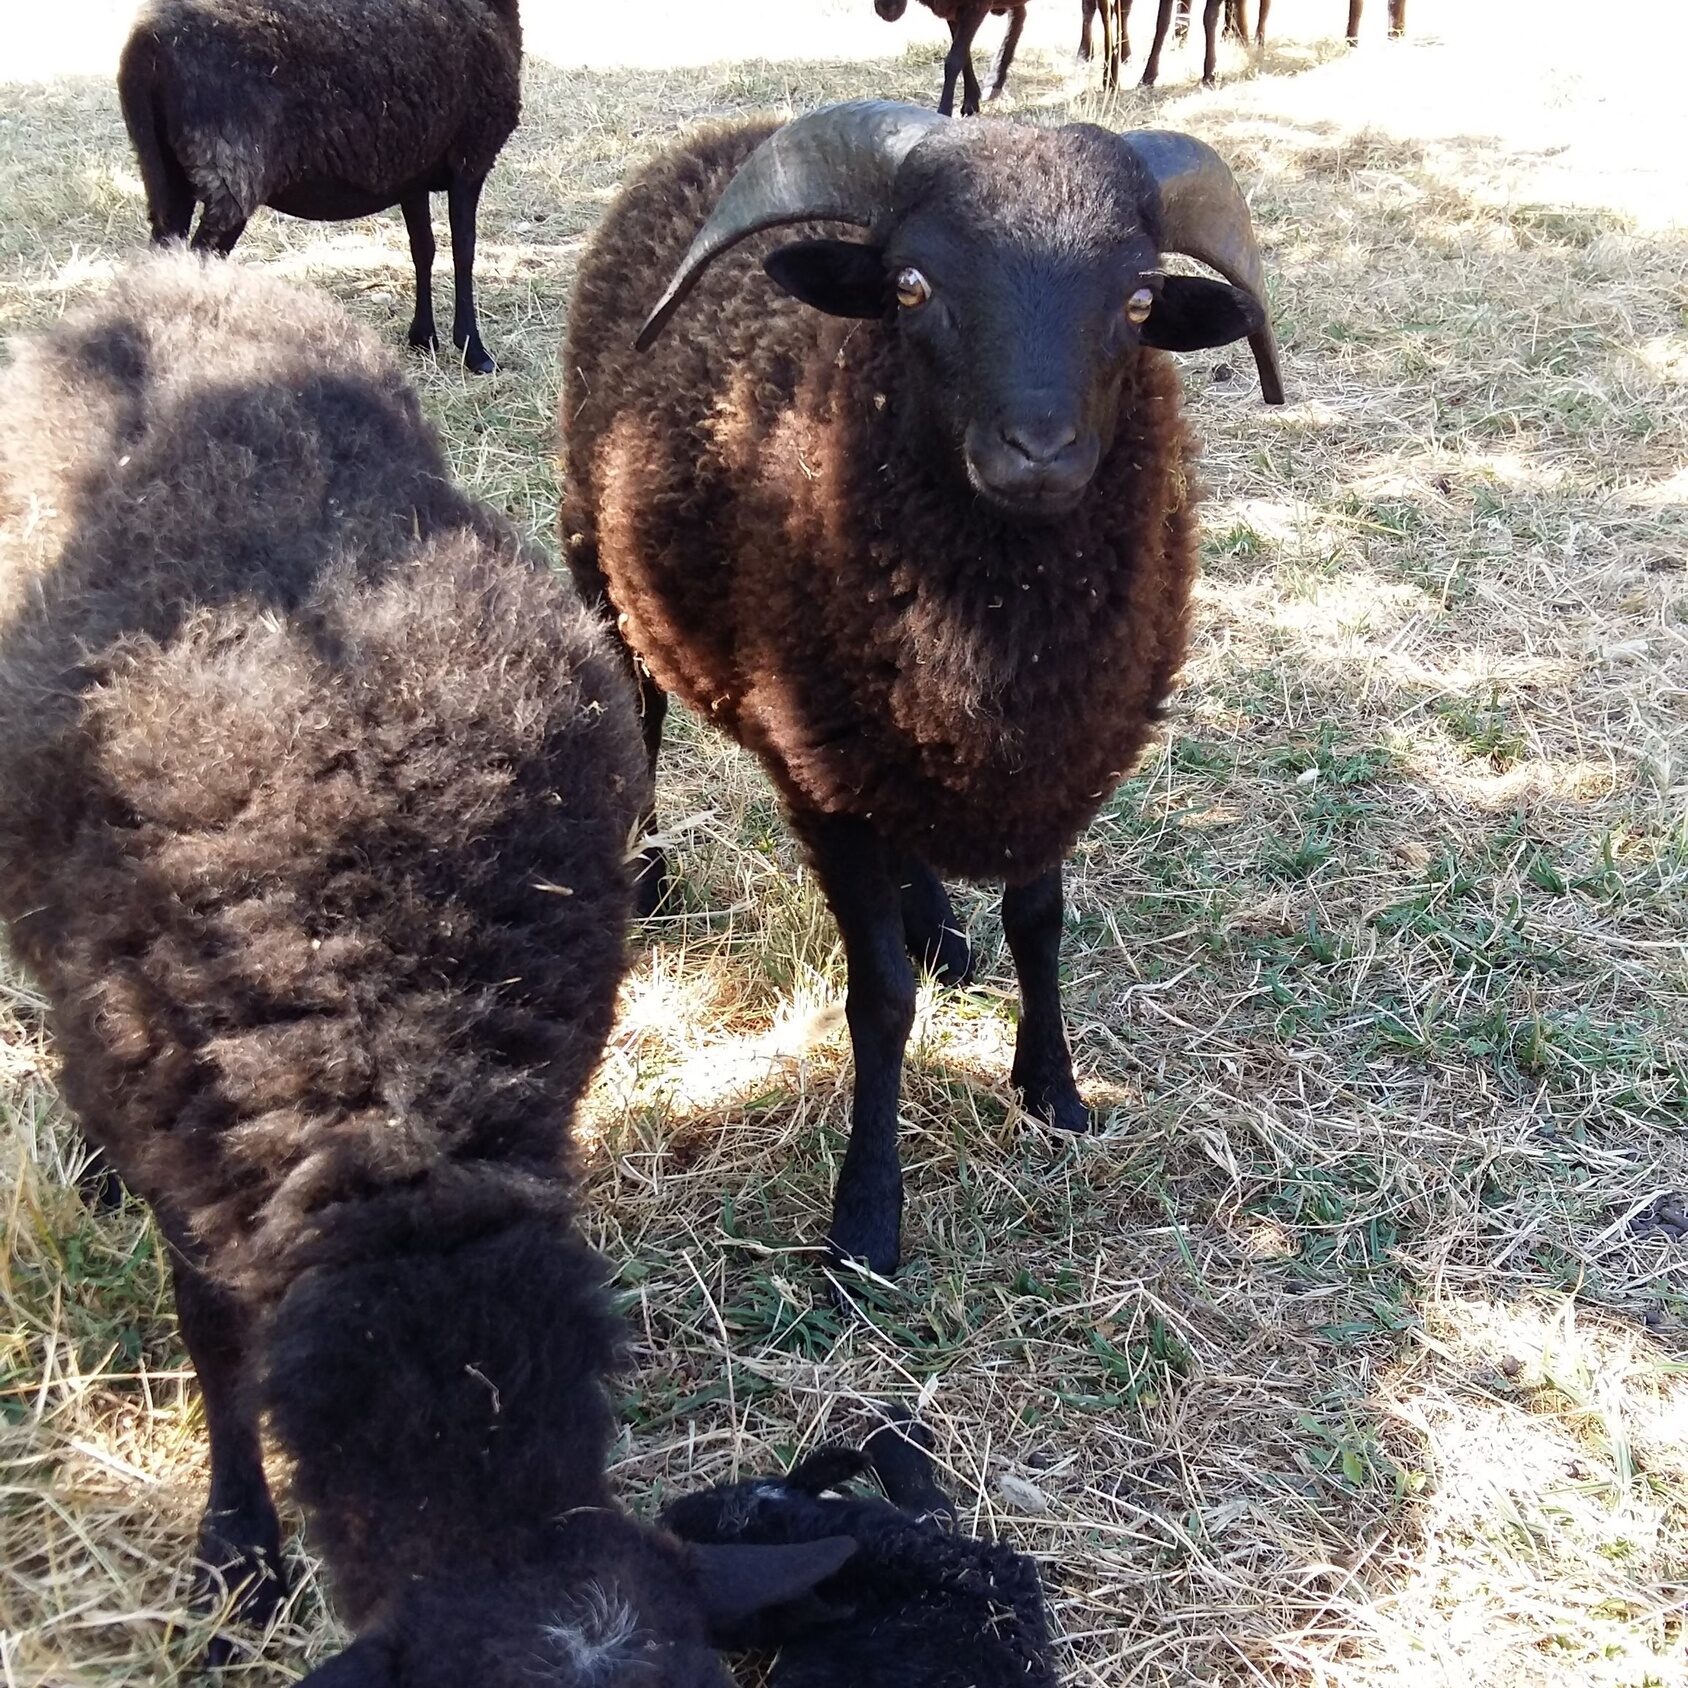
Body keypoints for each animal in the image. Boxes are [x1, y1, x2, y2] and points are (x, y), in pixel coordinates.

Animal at [116, 0, 522, 373]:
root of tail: (146, 47)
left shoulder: (412, 170)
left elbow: (423, 249)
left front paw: (423, 337)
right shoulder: (471, 154)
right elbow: (464, 251)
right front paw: (474, 350)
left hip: (165, 177)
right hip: (229, 173)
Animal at [559, 101, 1283, 1276]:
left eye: (1137, 300)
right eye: (910, 286)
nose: (1038, 451)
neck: (993, 634)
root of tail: (732, 127)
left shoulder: (1057, 755)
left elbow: (1040, 923)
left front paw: (1052, 1089)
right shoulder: (822, 773)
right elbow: (879, 1000)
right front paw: (865, 1218)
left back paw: (938, 924)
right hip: (603, 565)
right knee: (642, 714)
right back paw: (652, 876)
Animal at [873, 0, 1030, 117]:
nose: (886, 9)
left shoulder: (976, 6)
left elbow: (954, 60)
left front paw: (944, 112)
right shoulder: (952, 12)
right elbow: (964, 56)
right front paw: (971, 102)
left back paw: (994, 81)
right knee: (1020, 12)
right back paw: (995, 80)